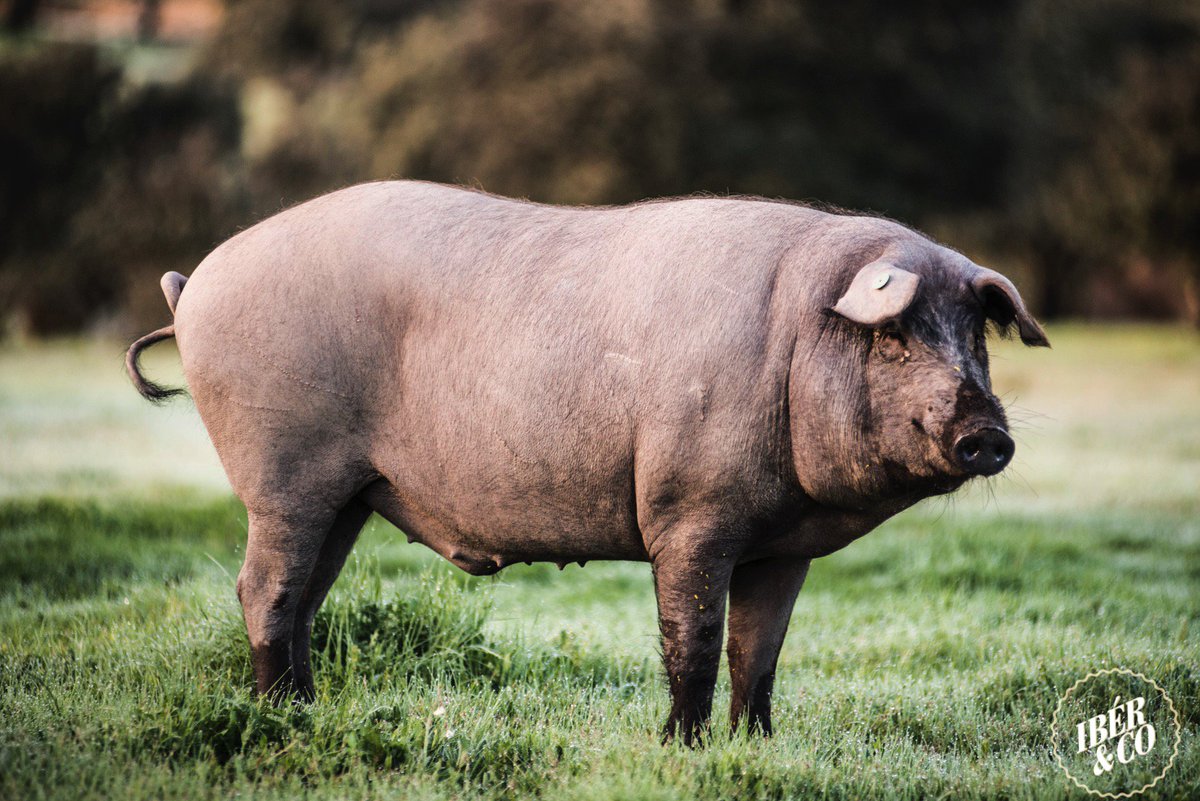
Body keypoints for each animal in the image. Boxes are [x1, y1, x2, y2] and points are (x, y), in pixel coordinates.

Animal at [126, 180, 1047, 744]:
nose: (987, 432)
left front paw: (758, 746)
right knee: (264, 588)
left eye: (976, 335)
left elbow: (760, 653)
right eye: (894, 337)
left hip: (346, 494)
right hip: (282, 474)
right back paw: (279, 714)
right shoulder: (687, 511)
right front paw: (682, 749)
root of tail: (193, 285)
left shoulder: (783, 546)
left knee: (306, 595)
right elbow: (694, 639)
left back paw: (307, 708)